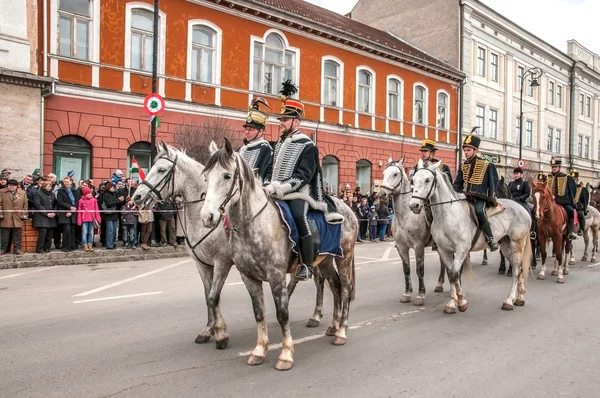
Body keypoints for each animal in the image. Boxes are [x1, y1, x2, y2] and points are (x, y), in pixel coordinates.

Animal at [199, 140, 358, 370]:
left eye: (227, 176)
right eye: (206, 177)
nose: (207, 216)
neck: (255, 222)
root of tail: (348, 209)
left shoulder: (276, 276)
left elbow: (282, 314)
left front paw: (286, 354)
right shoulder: (248, 277)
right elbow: (259, 312)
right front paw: (259, 350)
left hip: (344, 257)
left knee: (345, 290)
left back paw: (342, 332)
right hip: (326, 260)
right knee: (335, 286)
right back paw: (333, 326)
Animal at [378, 159, 448, 304]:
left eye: (395, 174)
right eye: (383, 173)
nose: (381, 194)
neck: (406, 215)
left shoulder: (418, 246)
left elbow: (419, 270)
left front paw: (420, 295)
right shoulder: (402, 247)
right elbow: (406, 269)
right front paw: (407, 293)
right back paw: (439, 284)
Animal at [410, 160, 532, 312]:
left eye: (427, 180)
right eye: (413, 180)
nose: (413, 205)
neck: (446, 215)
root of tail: (522, 208)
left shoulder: (461, 249)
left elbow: (455, 274)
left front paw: (461, 302)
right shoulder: (444, 250)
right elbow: (450, 274)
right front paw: (452, 302)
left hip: (517, 244)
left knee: (516, 270)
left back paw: (509, 300)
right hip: (505, 245)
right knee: (519, 268)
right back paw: (520, 298)